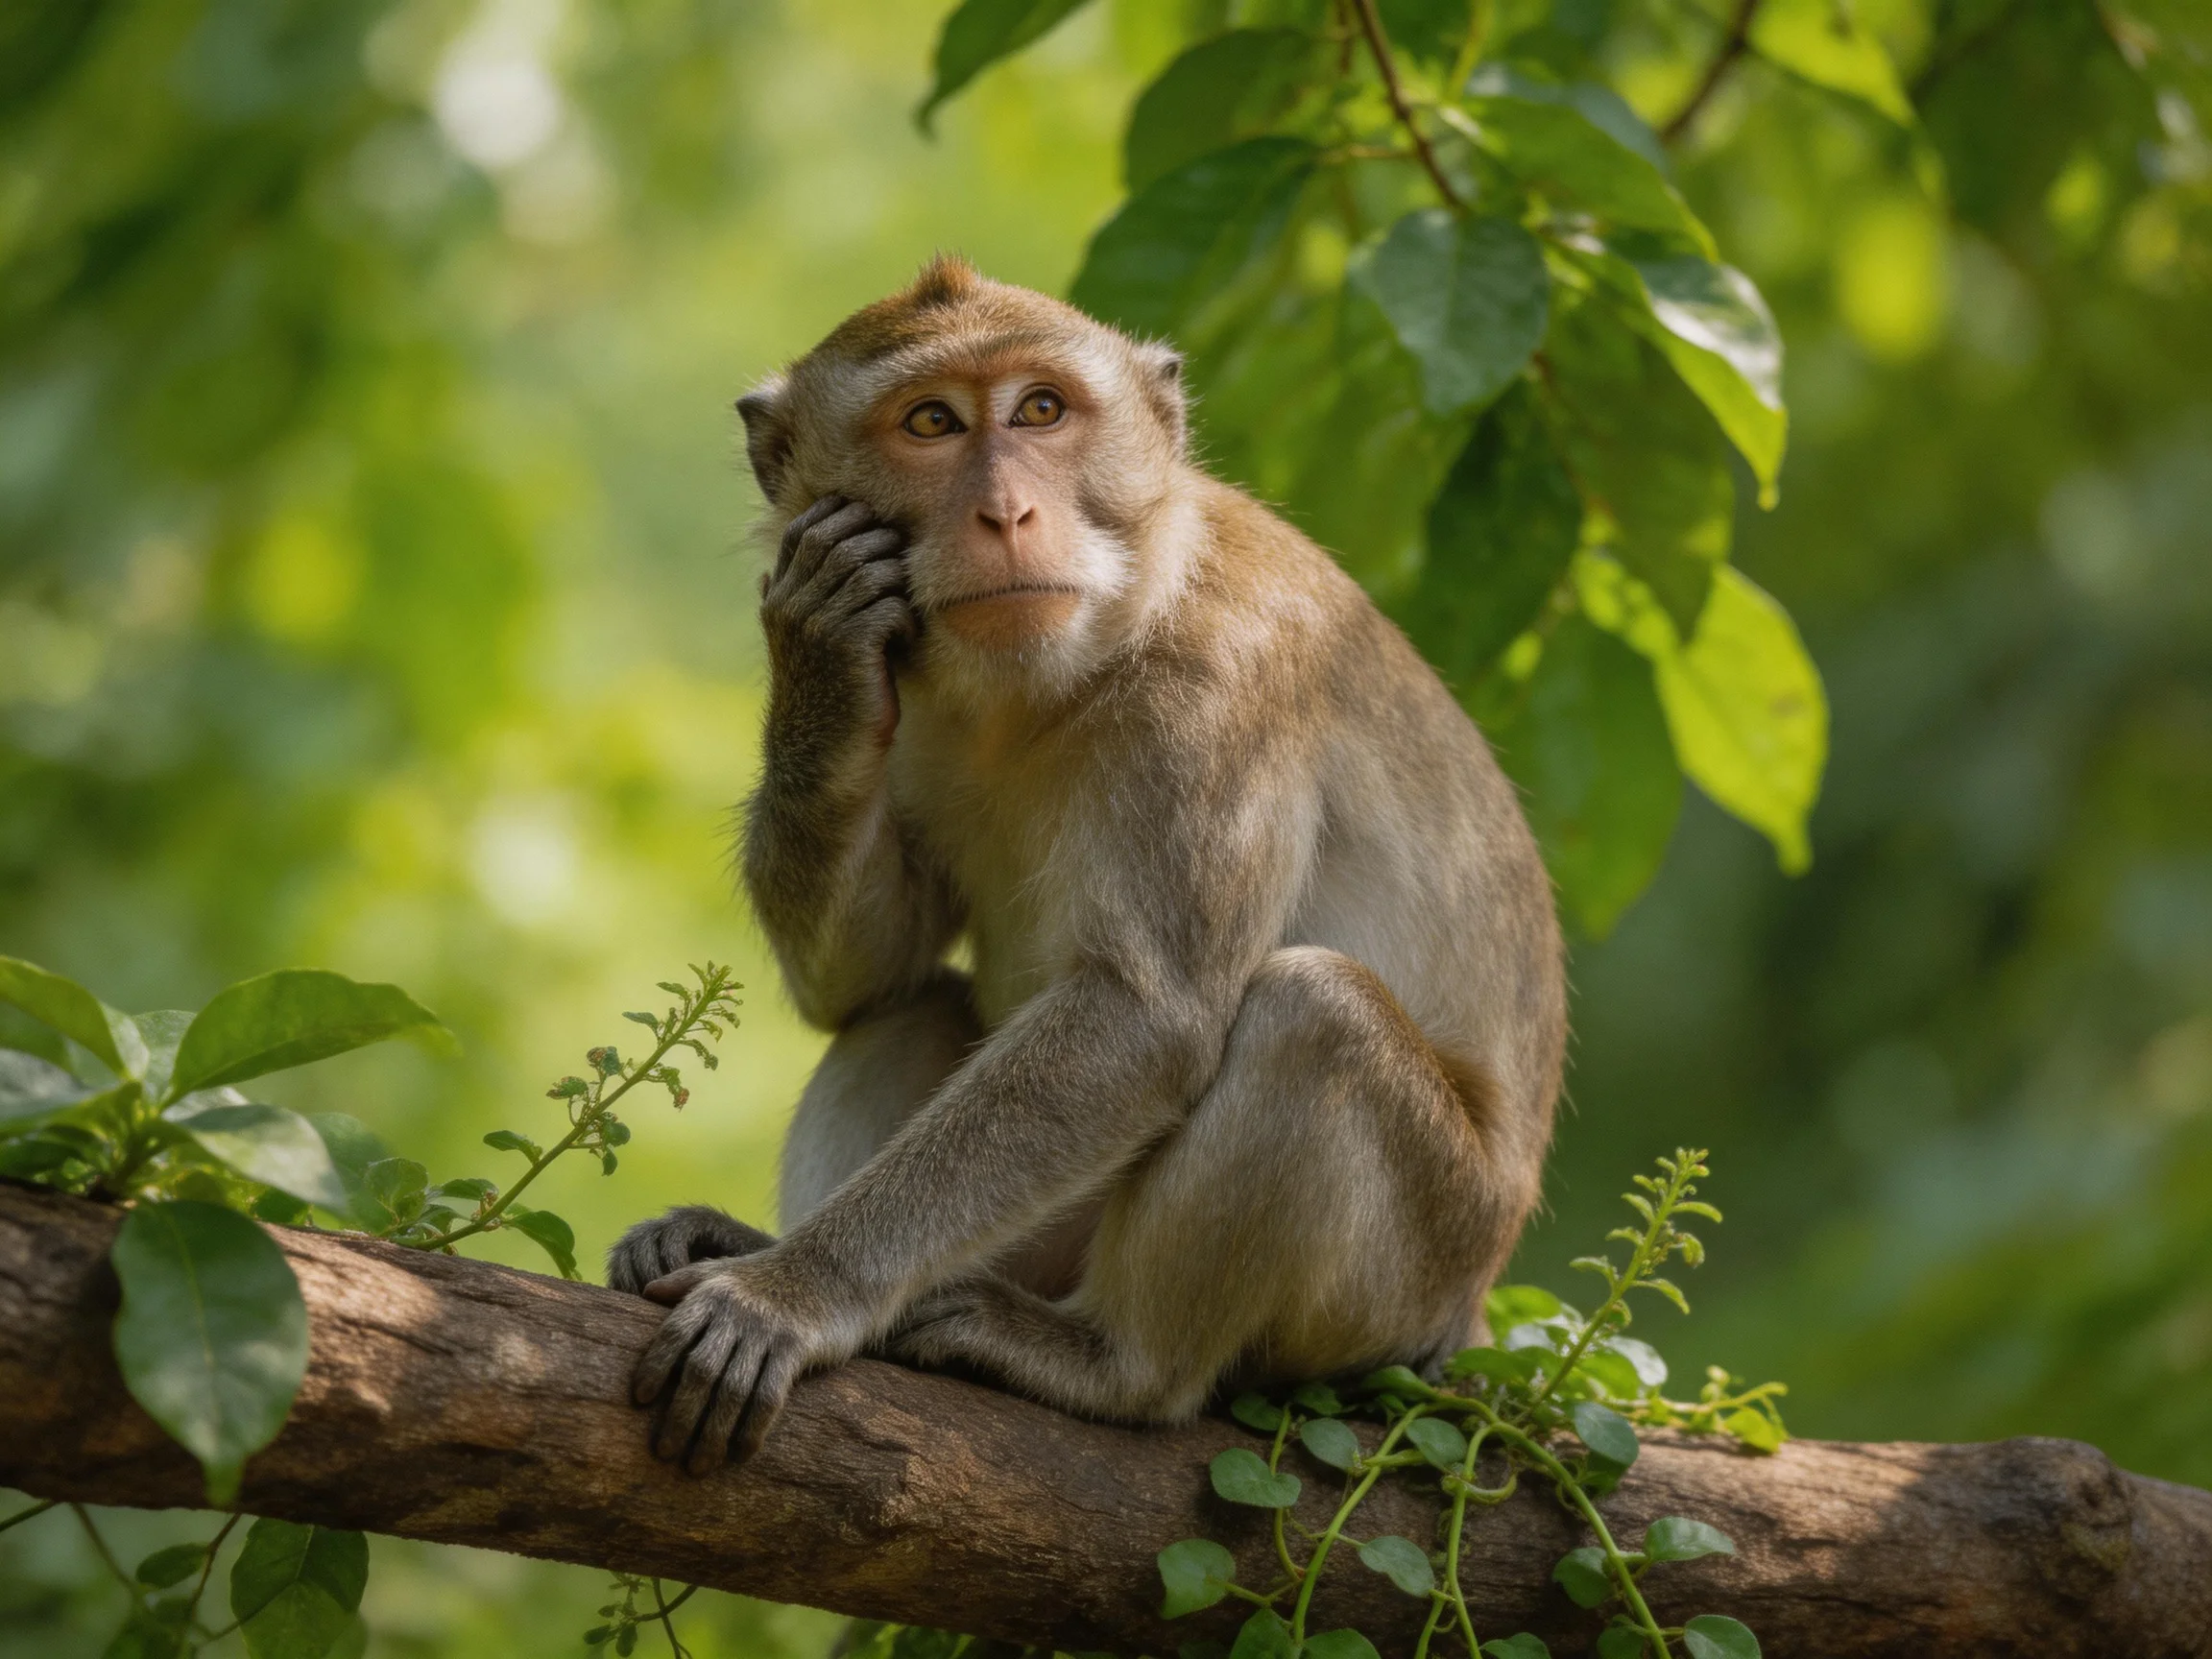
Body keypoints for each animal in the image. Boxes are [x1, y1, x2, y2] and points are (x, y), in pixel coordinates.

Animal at [607, 255, 1566, 1474]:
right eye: (932, 422)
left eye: (1042, 411)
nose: (1007, 512)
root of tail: (1471, 1309)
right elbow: (866, 981)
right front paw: (817, 656)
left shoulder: (1221, 680)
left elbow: (1143, 1016)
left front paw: (794, 1291)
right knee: (912, 1007)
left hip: (1407, 1280)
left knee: (1311, 1015)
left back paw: (1112, 1366)